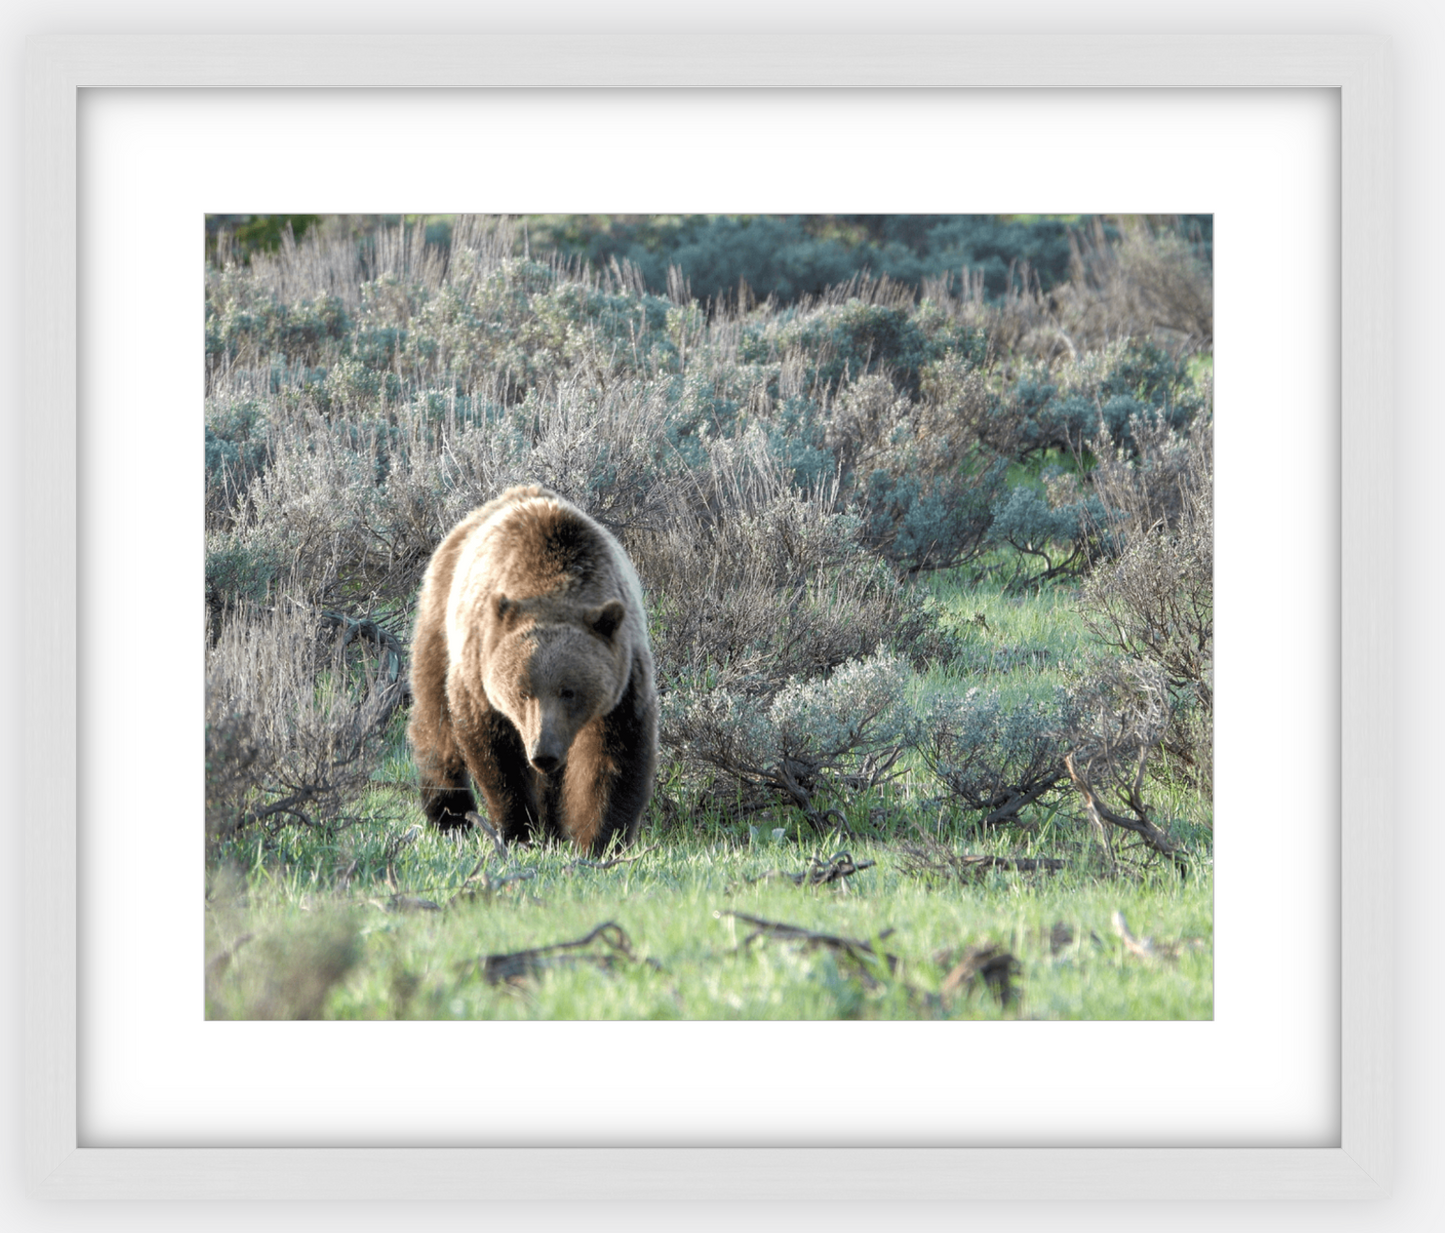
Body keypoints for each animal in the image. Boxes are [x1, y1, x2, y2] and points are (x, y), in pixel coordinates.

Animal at [404, 485, 658, 849]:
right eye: (522, 692)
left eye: (569, 691)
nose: (543, 753)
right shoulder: (482, 668)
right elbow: (497, 755)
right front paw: (517, 829)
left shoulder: (623, 679)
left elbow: (614, 757)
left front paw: (599, 838)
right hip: (439, 618)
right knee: (435, 716)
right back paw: (449, 813)